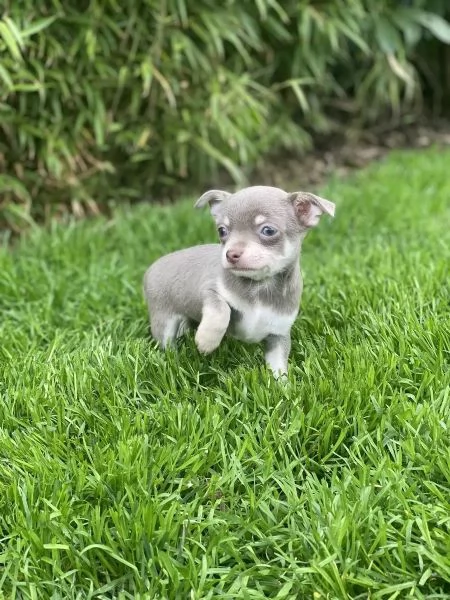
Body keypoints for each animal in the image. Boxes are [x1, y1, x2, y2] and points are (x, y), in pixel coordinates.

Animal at [142, 185, 336, 378]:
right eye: (222, 231)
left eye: (268, 231)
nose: (231, 254)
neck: (259, 285)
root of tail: (150, 268)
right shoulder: (208, 291)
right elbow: (222, 309)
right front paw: (206, 340)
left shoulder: (278, 335)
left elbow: (278, 366)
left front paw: (282, 384)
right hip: (163, 320)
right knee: (167, 344)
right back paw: (173, 361)